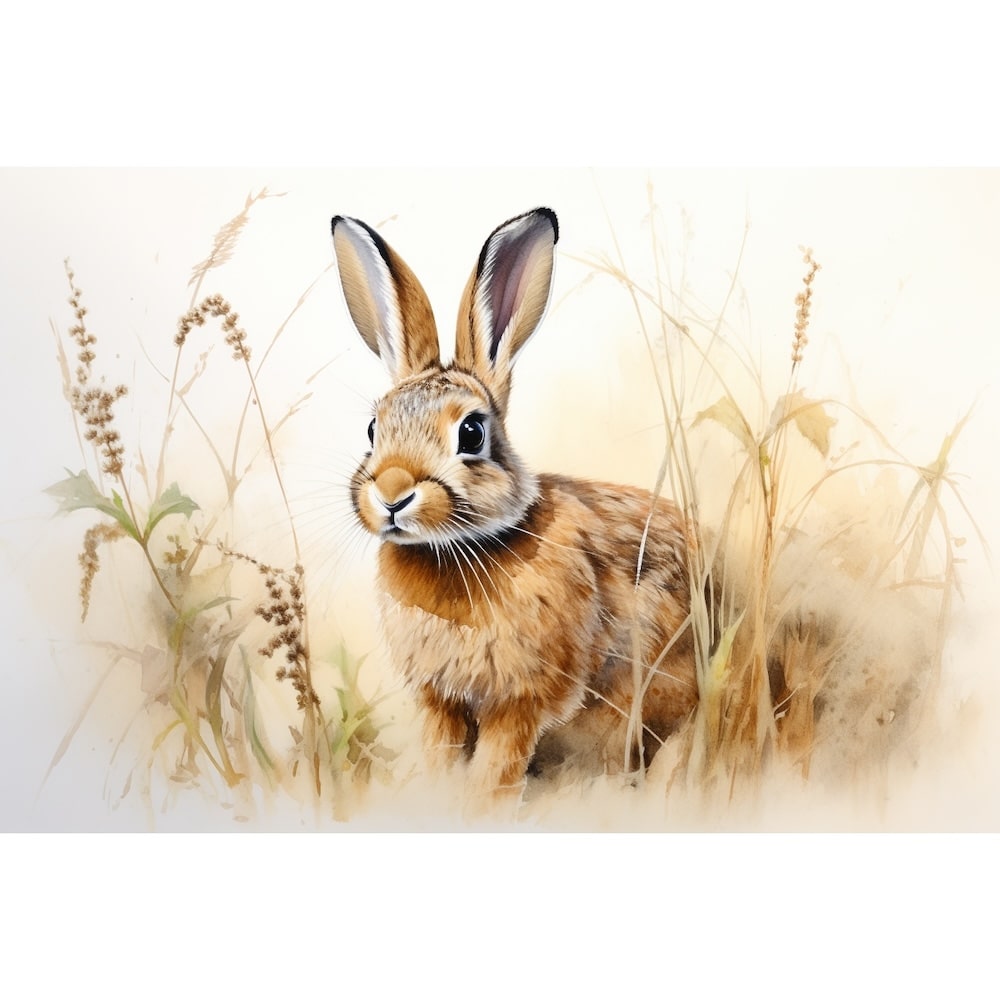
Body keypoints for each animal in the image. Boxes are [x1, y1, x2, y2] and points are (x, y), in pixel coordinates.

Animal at [331, 207, 698, 801]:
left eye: (472, 432)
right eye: (372, 429)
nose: (391, 495)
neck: (456, 550)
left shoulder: (519, 701)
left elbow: (496, 771)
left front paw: (482, 806)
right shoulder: (440, 701)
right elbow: (441, 756)